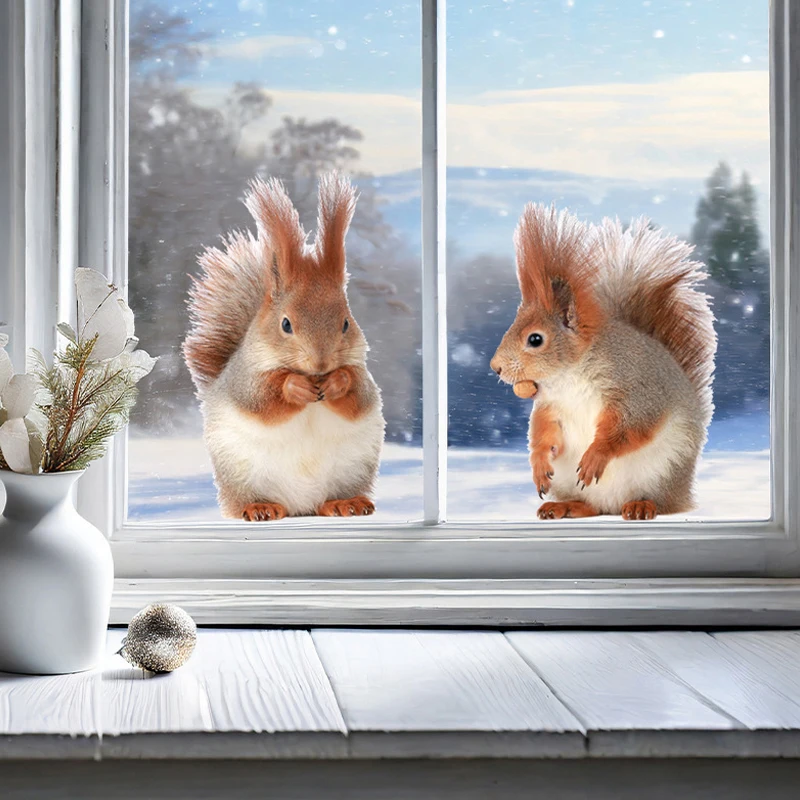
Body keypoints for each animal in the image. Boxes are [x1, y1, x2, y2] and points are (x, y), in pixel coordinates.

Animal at [183, 174, 385, 522]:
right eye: (286, 324)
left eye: (346, 323)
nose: (320, 363)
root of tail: (299, 506)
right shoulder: (244, 378)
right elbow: (261, 399)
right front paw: (294, 386)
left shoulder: (363, 374)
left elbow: (359, 394)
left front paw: (337, 381)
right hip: (240, 473)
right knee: (244, 501)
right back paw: (260, 507)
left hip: (353, 468)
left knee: (328, 500)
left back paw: (345, 503)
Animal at [490, 204, 716, 521]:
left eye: (535, 339)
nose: (495, 367)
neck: (569, 376)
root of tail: (613, 504)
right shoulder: (550, 406)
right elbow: (543, 433)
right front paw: (538, 465)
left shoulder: (636, 389)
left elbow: (628, 427)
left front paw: (596, 456)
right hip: (570, 482)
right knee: (591, 507)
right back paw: (563, 506)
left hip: (664, 471)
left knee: (661, 503)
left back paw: (641, 505)